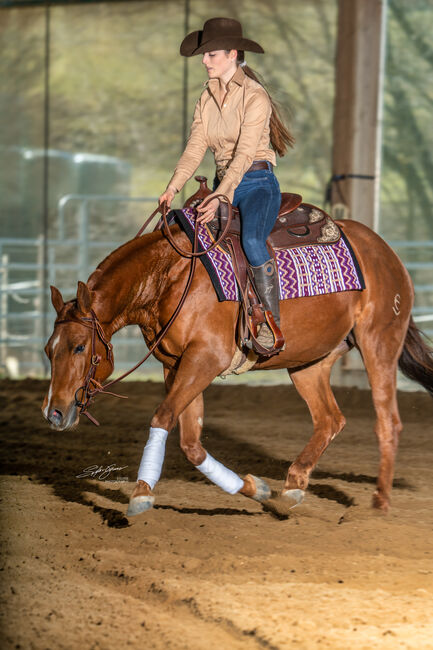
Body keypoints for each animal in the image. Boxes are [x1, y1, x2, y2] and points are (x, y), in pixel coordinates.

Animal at [41, 214, 432, 516]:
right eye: (48, 350)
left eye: (79, 347)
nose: (54, 413)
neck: (171, 275)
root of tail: (388, 254)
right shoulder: (178, 366)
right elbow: (191, 442)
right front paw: (255, 489)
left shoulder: (206, 358)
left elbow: (163, 417)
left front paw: (140, 493)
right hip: (310, 363)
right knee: (329, 420)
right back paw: (292, 487)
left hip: (380, 343)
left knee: (388, 422)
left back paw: (379, 504)